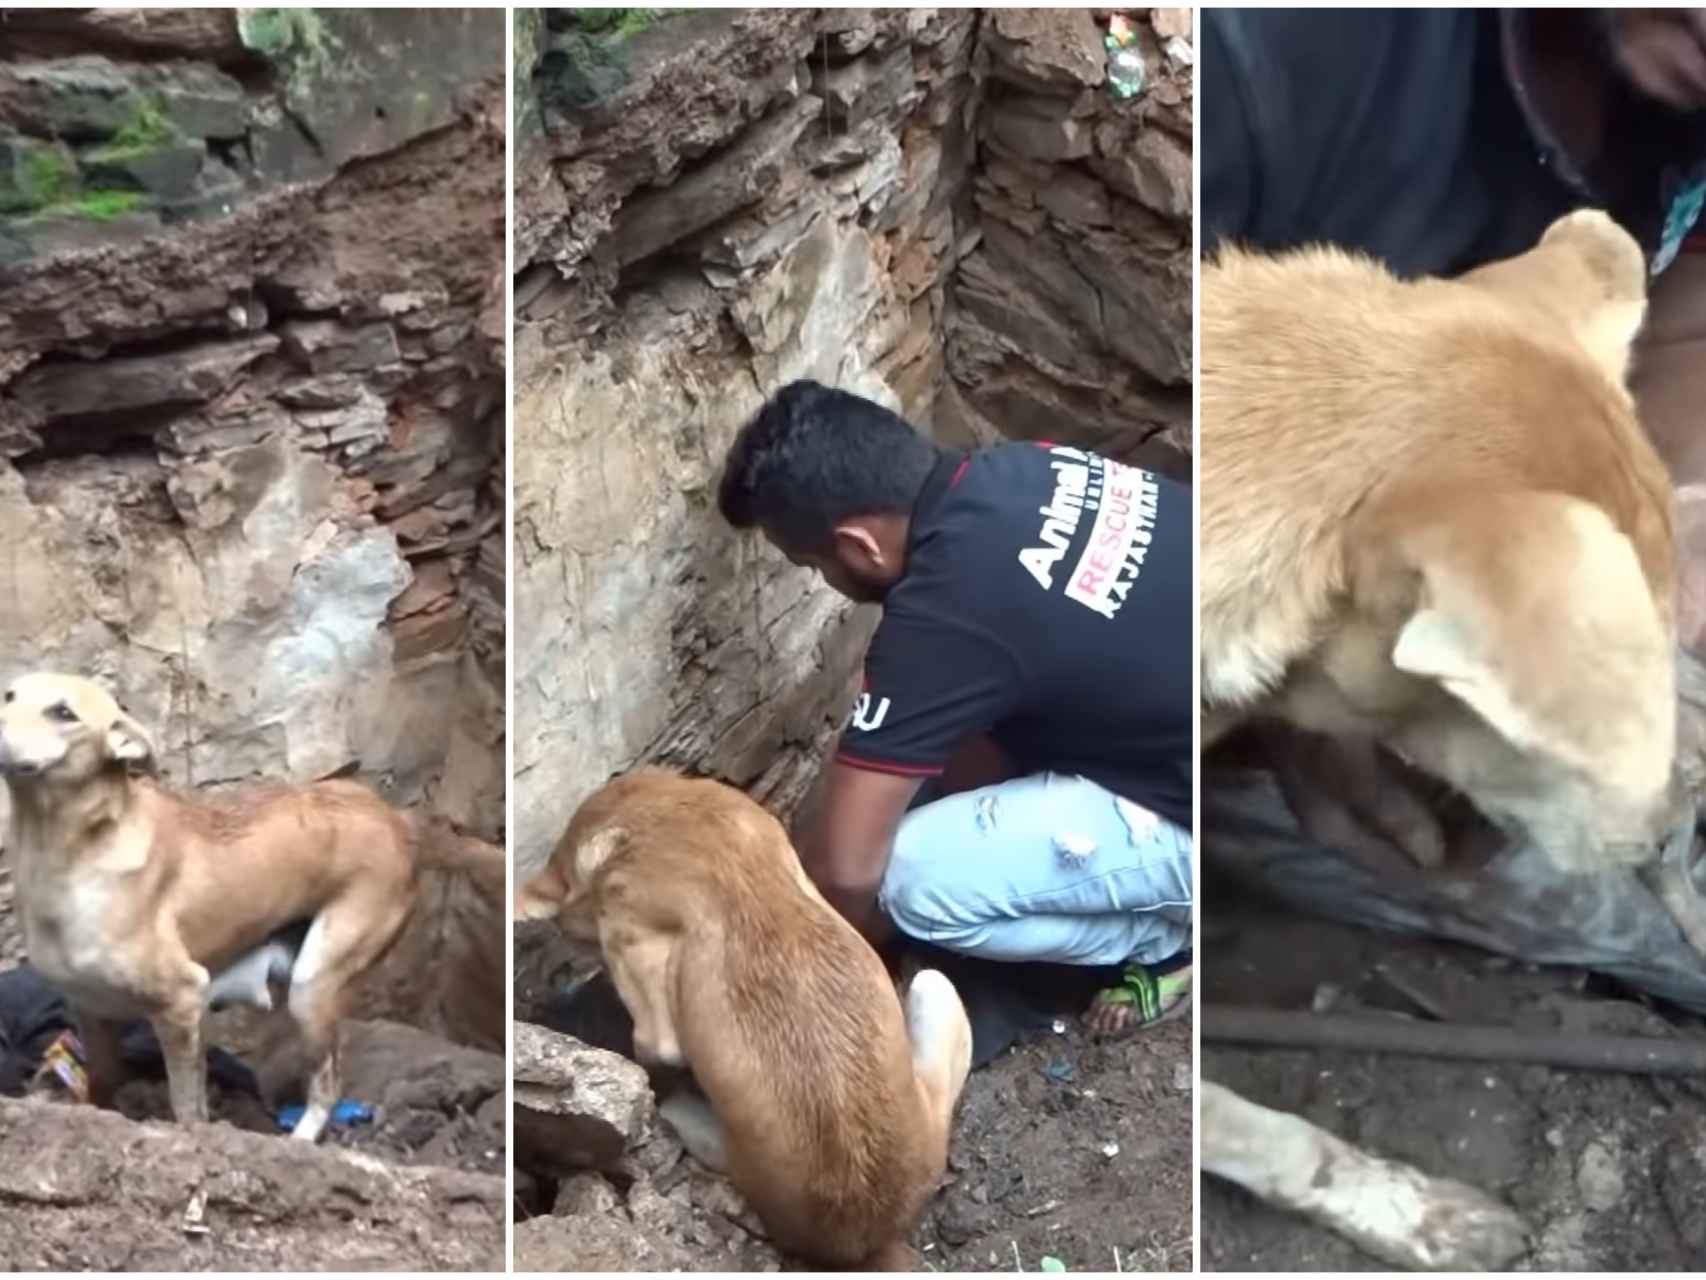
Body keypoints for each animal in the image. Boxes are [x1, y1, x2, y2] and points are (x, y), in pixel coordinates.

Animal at [1, 672, 421, 1140]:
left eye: (63, 713)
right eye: (9, 695)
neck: (61, 854)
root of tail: (395, 819)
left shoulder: (181, 1002)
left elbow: (188, 1108)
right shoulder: (93, 1013)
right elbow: (102, 1089)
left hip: (313, 986)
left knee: (328, 1084)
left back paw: (301, 1138)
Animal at [511, 771, 975, 1276]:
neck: (659, 815)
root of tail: (867, 1234)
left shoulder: (635, 961)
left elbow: (653, 1042)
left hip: (713, 1143)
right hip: (936, 988)